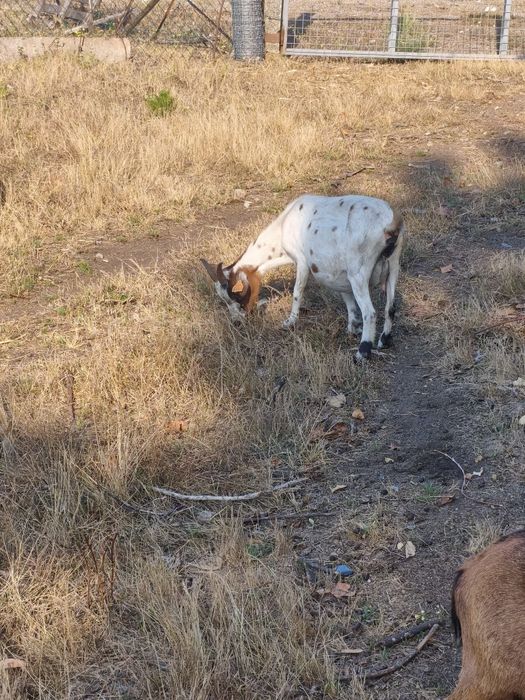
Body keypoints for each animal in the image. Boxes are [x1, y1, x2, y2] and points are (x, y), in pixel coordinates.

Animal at [201, 194, 405, 360]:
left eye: (238, 295)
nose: (237, 322)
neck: (284, 224)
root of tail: (389, 223)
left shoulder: (302, 262)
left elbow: (297, 293)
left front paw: (290, 322)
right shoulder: (339, 274)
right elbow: (348, 301)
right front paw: (352, 328)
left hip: (358, 273)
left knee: (370, 312)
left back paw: (362, 353)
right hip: (394, 265)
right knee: (390, 307)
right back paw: (384, 340)